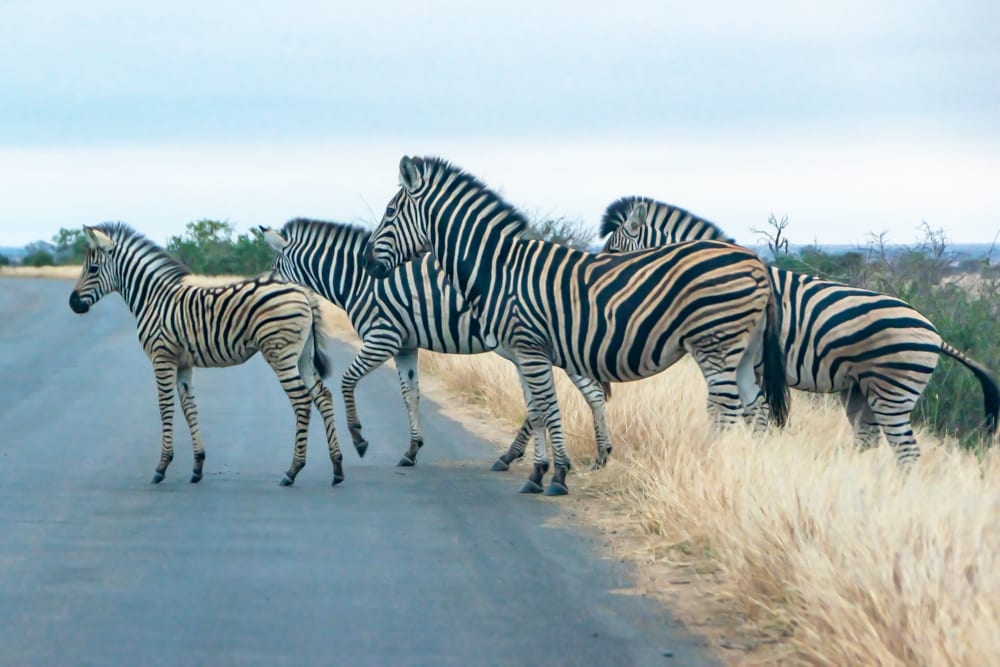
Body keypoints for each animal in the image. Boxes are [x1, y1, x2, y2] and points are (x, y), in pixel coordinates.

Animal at [69, 222, 344, 488]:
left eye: (93, 269)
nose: (72, 304)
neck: (153, 299)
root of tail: (302, 291)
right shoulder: (183, 363)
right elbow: (189, 407)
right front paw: (197, 466)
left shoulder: (162, 358)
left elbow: (165, 407)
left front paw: (162, 467)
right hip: (303, 355)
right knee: (323, 396)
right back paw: (337, 468)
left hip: (280, 353)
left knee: (302, 400)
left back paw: (292, 471)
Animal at [258, 219, 612, 470]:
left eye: (275, 270)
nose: (263, 300)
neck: (359, 281)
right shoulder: (404, 346)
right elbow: (410, 394)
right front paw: (412, 449)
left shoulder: (382, 337)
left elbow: (347, 380)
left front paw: (358, 438)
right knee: (588, 393)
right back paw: (597, 456)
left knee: (582, 392)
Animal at [364, 158, 792, 496]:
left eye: (390, 212)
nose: (368, 263)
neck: (498, 269)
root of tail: (755, 260)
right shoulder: (522, 354)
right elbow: (536, 411)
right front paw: (537, 473)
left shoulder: (531, 349)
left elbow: (548, 410)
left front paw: (558, 476)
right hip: (743, 352)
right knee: (756, 408)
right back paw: (747, 472)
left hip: (715, 343)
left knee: (727, 409)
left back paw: (713, 469)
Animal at [596, 194, 996, 464]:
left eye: (614, 251)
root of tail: (936, 333)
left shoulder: (753, 364)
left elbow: (752, 414)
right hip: (862, 392)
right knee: (871, 441)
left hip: (894, 393)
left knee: (907, 451)